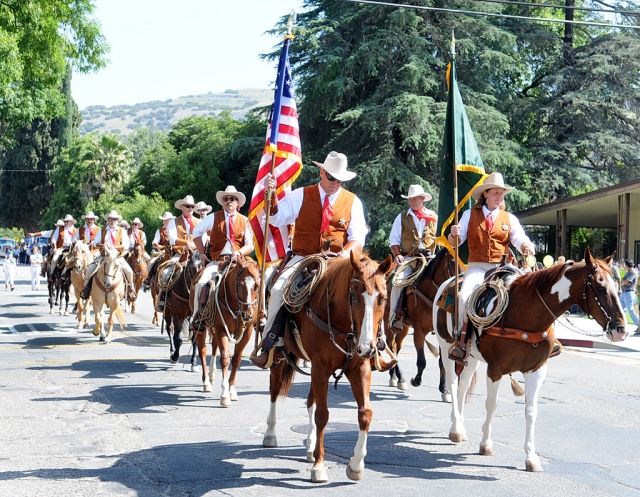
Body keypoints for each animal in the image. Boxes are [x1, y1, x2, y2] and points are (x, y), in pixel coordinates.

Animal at [192, 258, 260, 404]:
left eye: (257, 285)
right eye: (240, 285)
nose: (247, 315)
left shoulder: (246, 332)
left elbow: (236, 360)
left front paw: (232, 391)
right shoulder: (221, 329)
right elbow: (224, 359)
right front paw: (224, 395)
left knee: (214, 346)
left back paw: (211, 375)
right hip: (200, 328)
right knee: (203, 351)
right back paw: (206, 382)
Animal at [262, 250, 392, 482]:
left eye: (383, 298)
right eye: (354, 296)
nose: (368, 347)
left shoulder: (359, 368)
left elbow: (365, 413)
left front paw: (356, 465)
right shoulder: (321, 367)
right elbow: (323, 415)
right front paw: (319, 465)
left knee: (310, 401)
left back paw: (310, 447)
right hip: (280, 358)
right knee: (275, 391)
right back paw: (270, 434)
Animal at [384, 248, 456, 396]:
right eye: (451, 262)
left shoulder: (441, 333)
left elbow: (442, 362)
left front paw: (444, 390)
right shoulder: (419, 331)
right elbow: (422, 361)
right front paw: (416, 380)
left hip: (404, 327)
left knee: (396, 347)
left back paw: (396, 377)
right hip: (388, 323)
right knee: (392, 347)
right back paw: (399, 378)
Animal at [432, 246, 628, 470]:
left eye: (617, 286)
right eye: (600, 287)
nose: (621, 330)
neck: (526, 315)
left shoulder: (537, 369)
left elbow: (531, 410)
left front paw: (531, 457)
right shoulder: (495, 369)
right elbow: (492, 404)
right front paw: (486, 444)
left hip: (472, 357)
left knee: (463, 386)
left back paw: (460, 429)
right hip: (447, 347)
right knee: (453, 383)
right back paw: (455, 429)